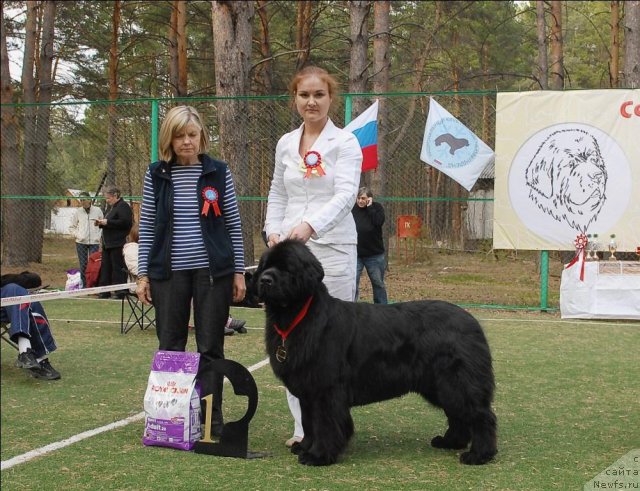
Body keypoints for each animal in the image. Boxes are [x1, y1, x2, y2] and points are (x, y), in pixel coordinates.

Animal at [252, 240, 498, 468]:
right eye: (264, 266)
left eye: (286, 268)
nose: (265, 279)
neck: (298, 317)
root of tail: (472, 322)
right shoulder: (308, 390)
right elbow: (308, 421)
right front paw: (304, 446)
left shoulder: (326, 389)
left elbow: (324, 424)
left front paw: (318, 455)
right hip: (439, 385)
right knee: (457, 415)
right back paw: (450, 442)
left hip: (456, 381)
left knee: (481, 415)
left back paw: (479, 455)